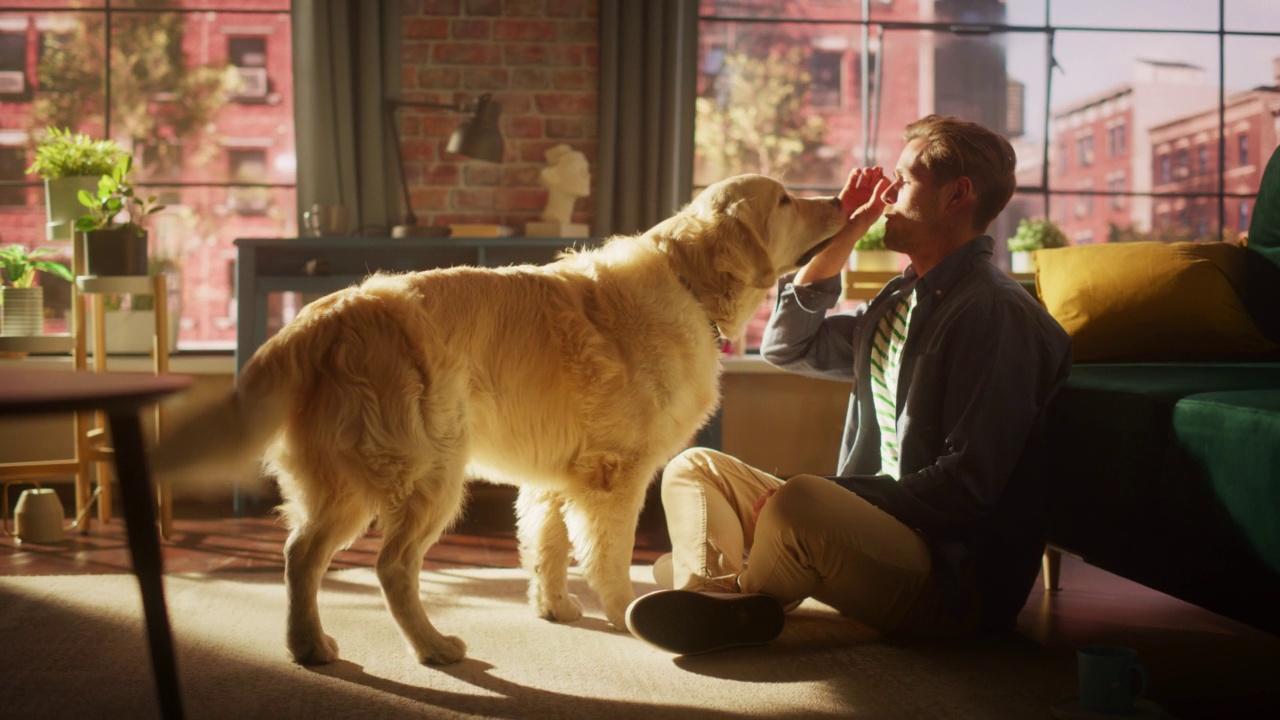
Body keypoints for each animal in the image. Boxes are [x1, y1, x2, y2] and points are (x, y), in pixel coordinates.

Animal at [149, 172, 849, 661]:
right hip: (429, 474)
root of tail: (332, 313)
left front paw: (554, 609)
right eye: (785, 200)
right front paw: (629, 613)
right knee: (390, 566)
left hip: (344, 483)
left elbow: (546, 548)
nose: (842, 200)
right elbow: (610, 559)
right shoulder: (614, 477)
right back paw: (433, 648)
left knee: (300, 554)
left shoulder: (556, 482)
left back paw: (310, 647)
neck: (686, 282)